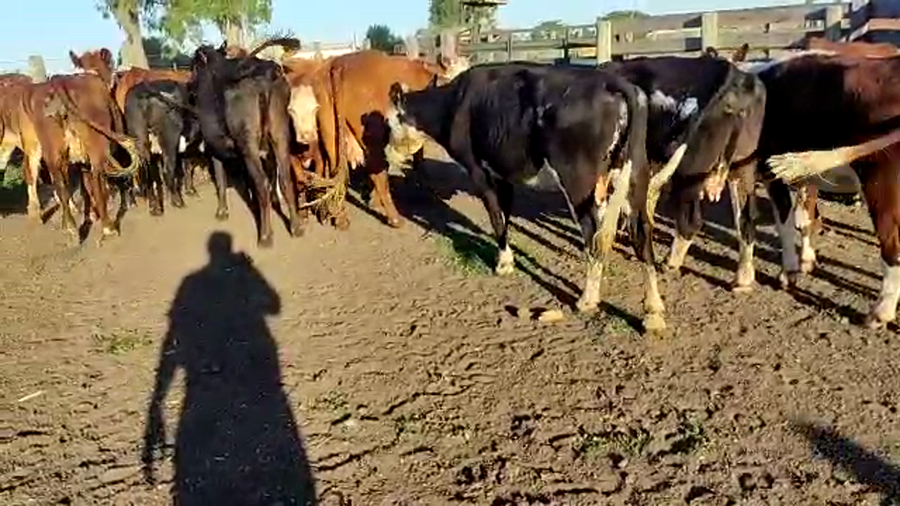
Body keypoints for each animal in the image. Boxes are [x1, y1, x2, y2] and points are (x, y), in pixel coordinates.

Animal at [188, 42, 303, 247]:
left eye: (194, 67)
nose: (188, 87)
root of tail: (265, 73)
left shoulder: (214, 148)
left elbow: (221, 181)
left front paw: (222, 211)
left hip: (248, 144)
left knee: (262, 183)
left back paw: (265, 236)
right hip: (279, 136)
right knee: (285, 180)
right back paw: (295, 227)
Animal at [384, 62, 695, 333]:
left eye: (388, 122)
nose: (387, 154)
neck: (452, 104)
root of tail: (614, 83)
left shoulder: (479, 171)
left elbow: (496, 217)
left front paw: (503, 264)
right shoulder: (504, 174)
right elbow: (506, 214)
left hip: (579, 181)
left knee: (593, 234)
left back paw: (587, 299)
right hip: (635, 175)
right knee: (640, 234)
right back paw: (652, 311)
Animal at [600, 54, 767, 292]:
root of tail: (735, 77)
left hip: (690, 170)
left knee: (691, 221)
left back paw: (669, 264)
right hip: (742, 168)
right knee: (745, 218)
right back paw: (742, 281)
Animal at [731, 50, 900, 328]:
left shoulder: (749, 169)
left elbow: (751, 222)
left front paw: (746, 278)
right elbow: (806, 218)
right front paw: (803, 263)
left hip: (881, 183)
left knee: (892, 245)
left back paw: (880, 312)